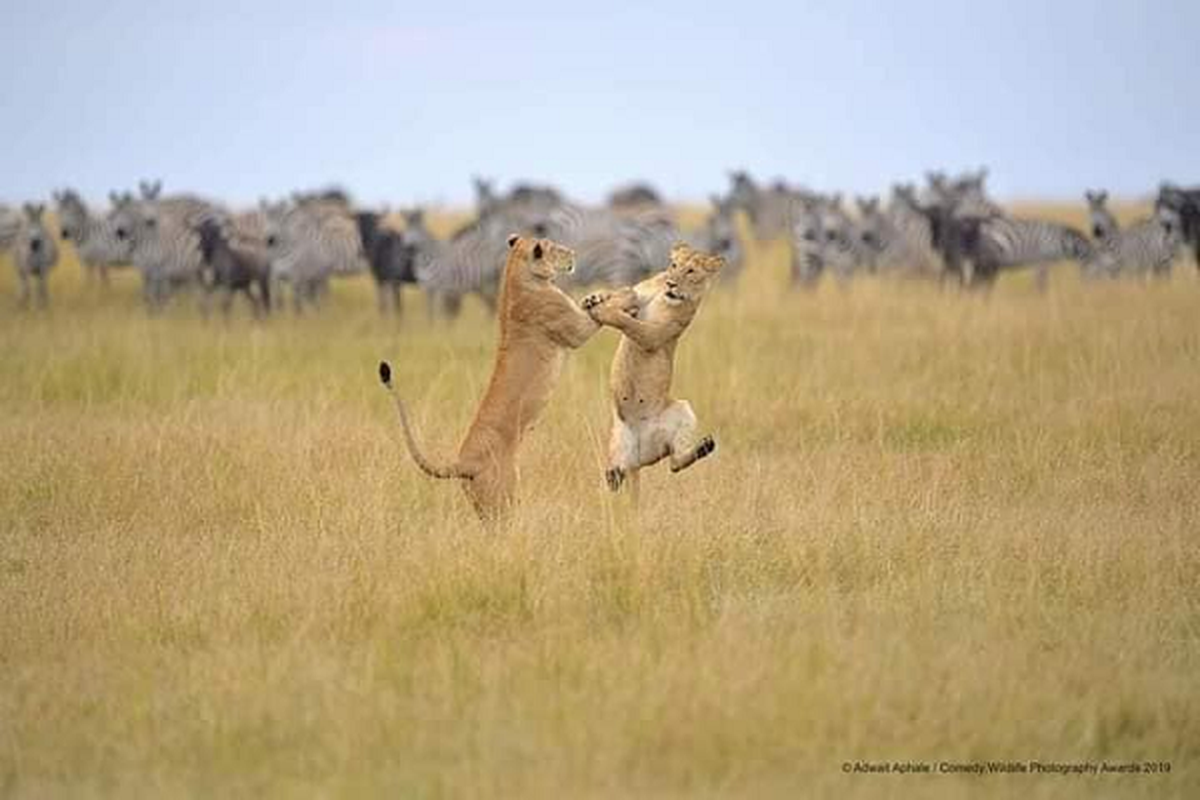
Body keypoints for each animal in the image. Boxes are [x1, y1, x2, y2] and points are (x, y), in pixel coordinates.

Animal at [379, 232, 600, 520]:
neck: (516, 272)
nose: (573, 253)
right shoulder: (575, 329)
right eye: (555, 249)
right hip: (503, 496)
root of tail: (462, 462)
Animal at [580, 241, 720, 496]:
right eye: (673, 265)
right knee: (616, 477)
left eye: (691, 271)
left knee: (674, 463)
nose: (671, 283)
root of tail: (638, 457)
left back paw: (706, 445)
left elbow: (629, 322)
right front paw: (594, 298)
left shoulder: (654, 335)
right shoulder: (639, 292)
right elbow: (626, 292)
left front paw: (602, 311)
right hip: (617, 442)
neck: (664, 297)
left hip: (683, 408)